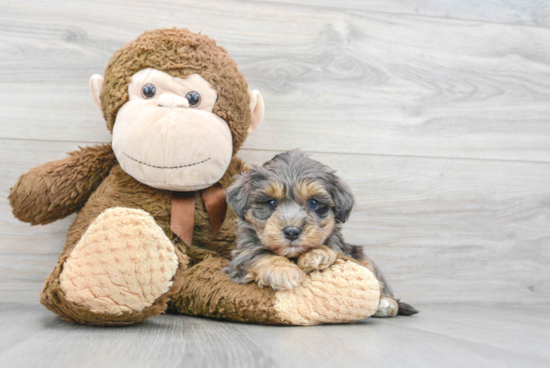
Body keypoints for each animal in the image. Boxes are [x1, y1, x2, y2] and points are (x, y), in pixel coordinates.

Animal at [224, 150, 418, 316]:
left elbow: (330, 246)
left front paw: (316, 254)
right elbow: (259, 255)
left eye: (313, 203)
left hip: (363, 257)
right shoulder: (241, 255)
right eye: (272, 203)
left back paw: (386, 303)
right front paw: (285, 272)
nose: (292, 232)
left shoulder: (341, 246)